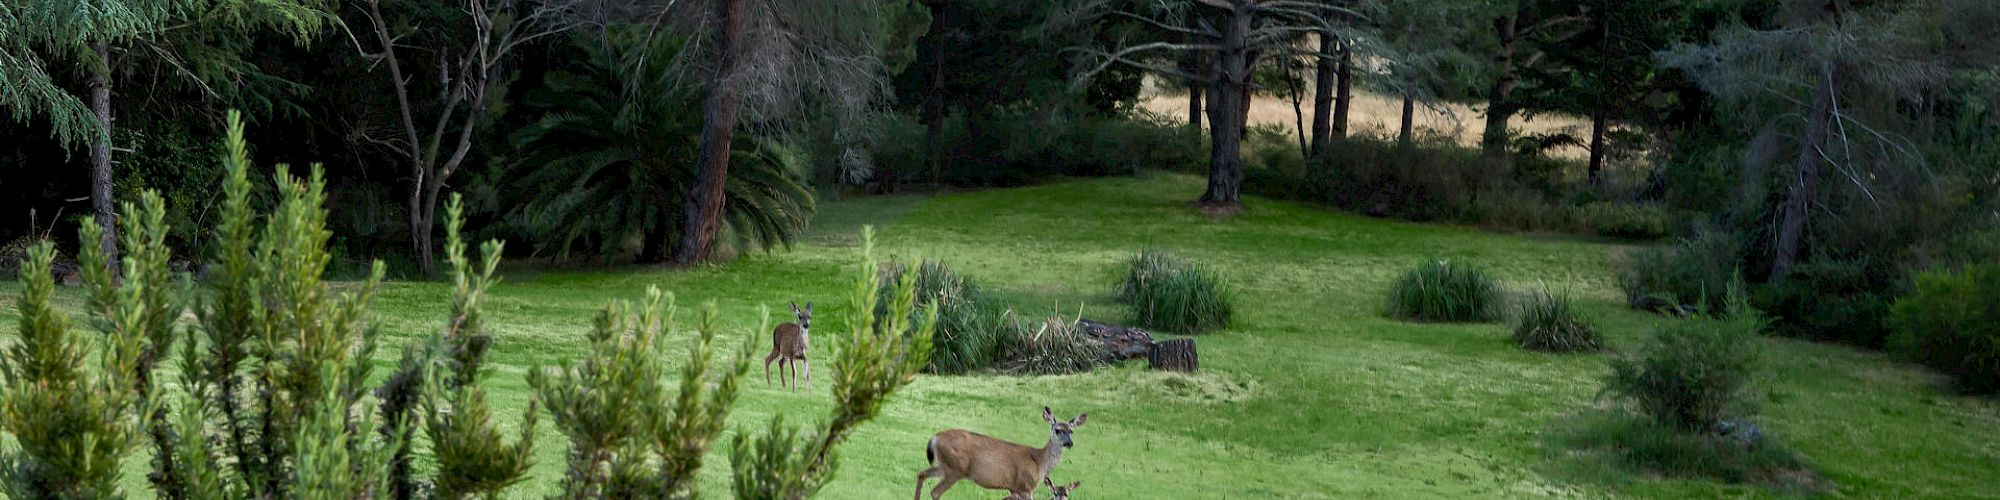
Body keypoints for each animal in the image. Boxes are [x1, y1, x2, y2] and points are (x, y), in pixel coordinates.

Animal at [916, 406, 1088, 500]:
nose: (1069, 443)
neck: (1040, 462)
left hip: (944, 466)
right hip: (955, 469)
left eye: (1071, 431)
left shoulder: (1013, 488)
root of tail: (935, 438)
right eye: (1057, 430)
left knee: (921, 474)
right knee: (935, 491)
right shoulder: (1025, 486)